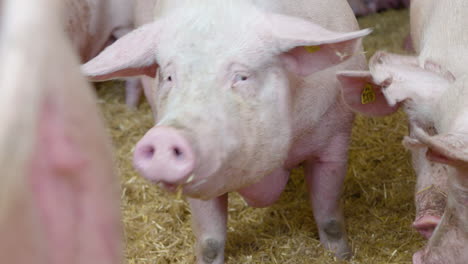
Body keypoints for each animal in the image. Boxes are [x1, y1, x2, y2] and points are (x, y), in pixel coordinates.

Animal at [82, 0, 372, 262]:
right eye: (169, 76)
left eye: (241, 76)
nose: (165, 136)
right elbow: (210, 241)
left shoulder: (334, 140)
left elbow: (330, 219)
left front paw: (342, 256)